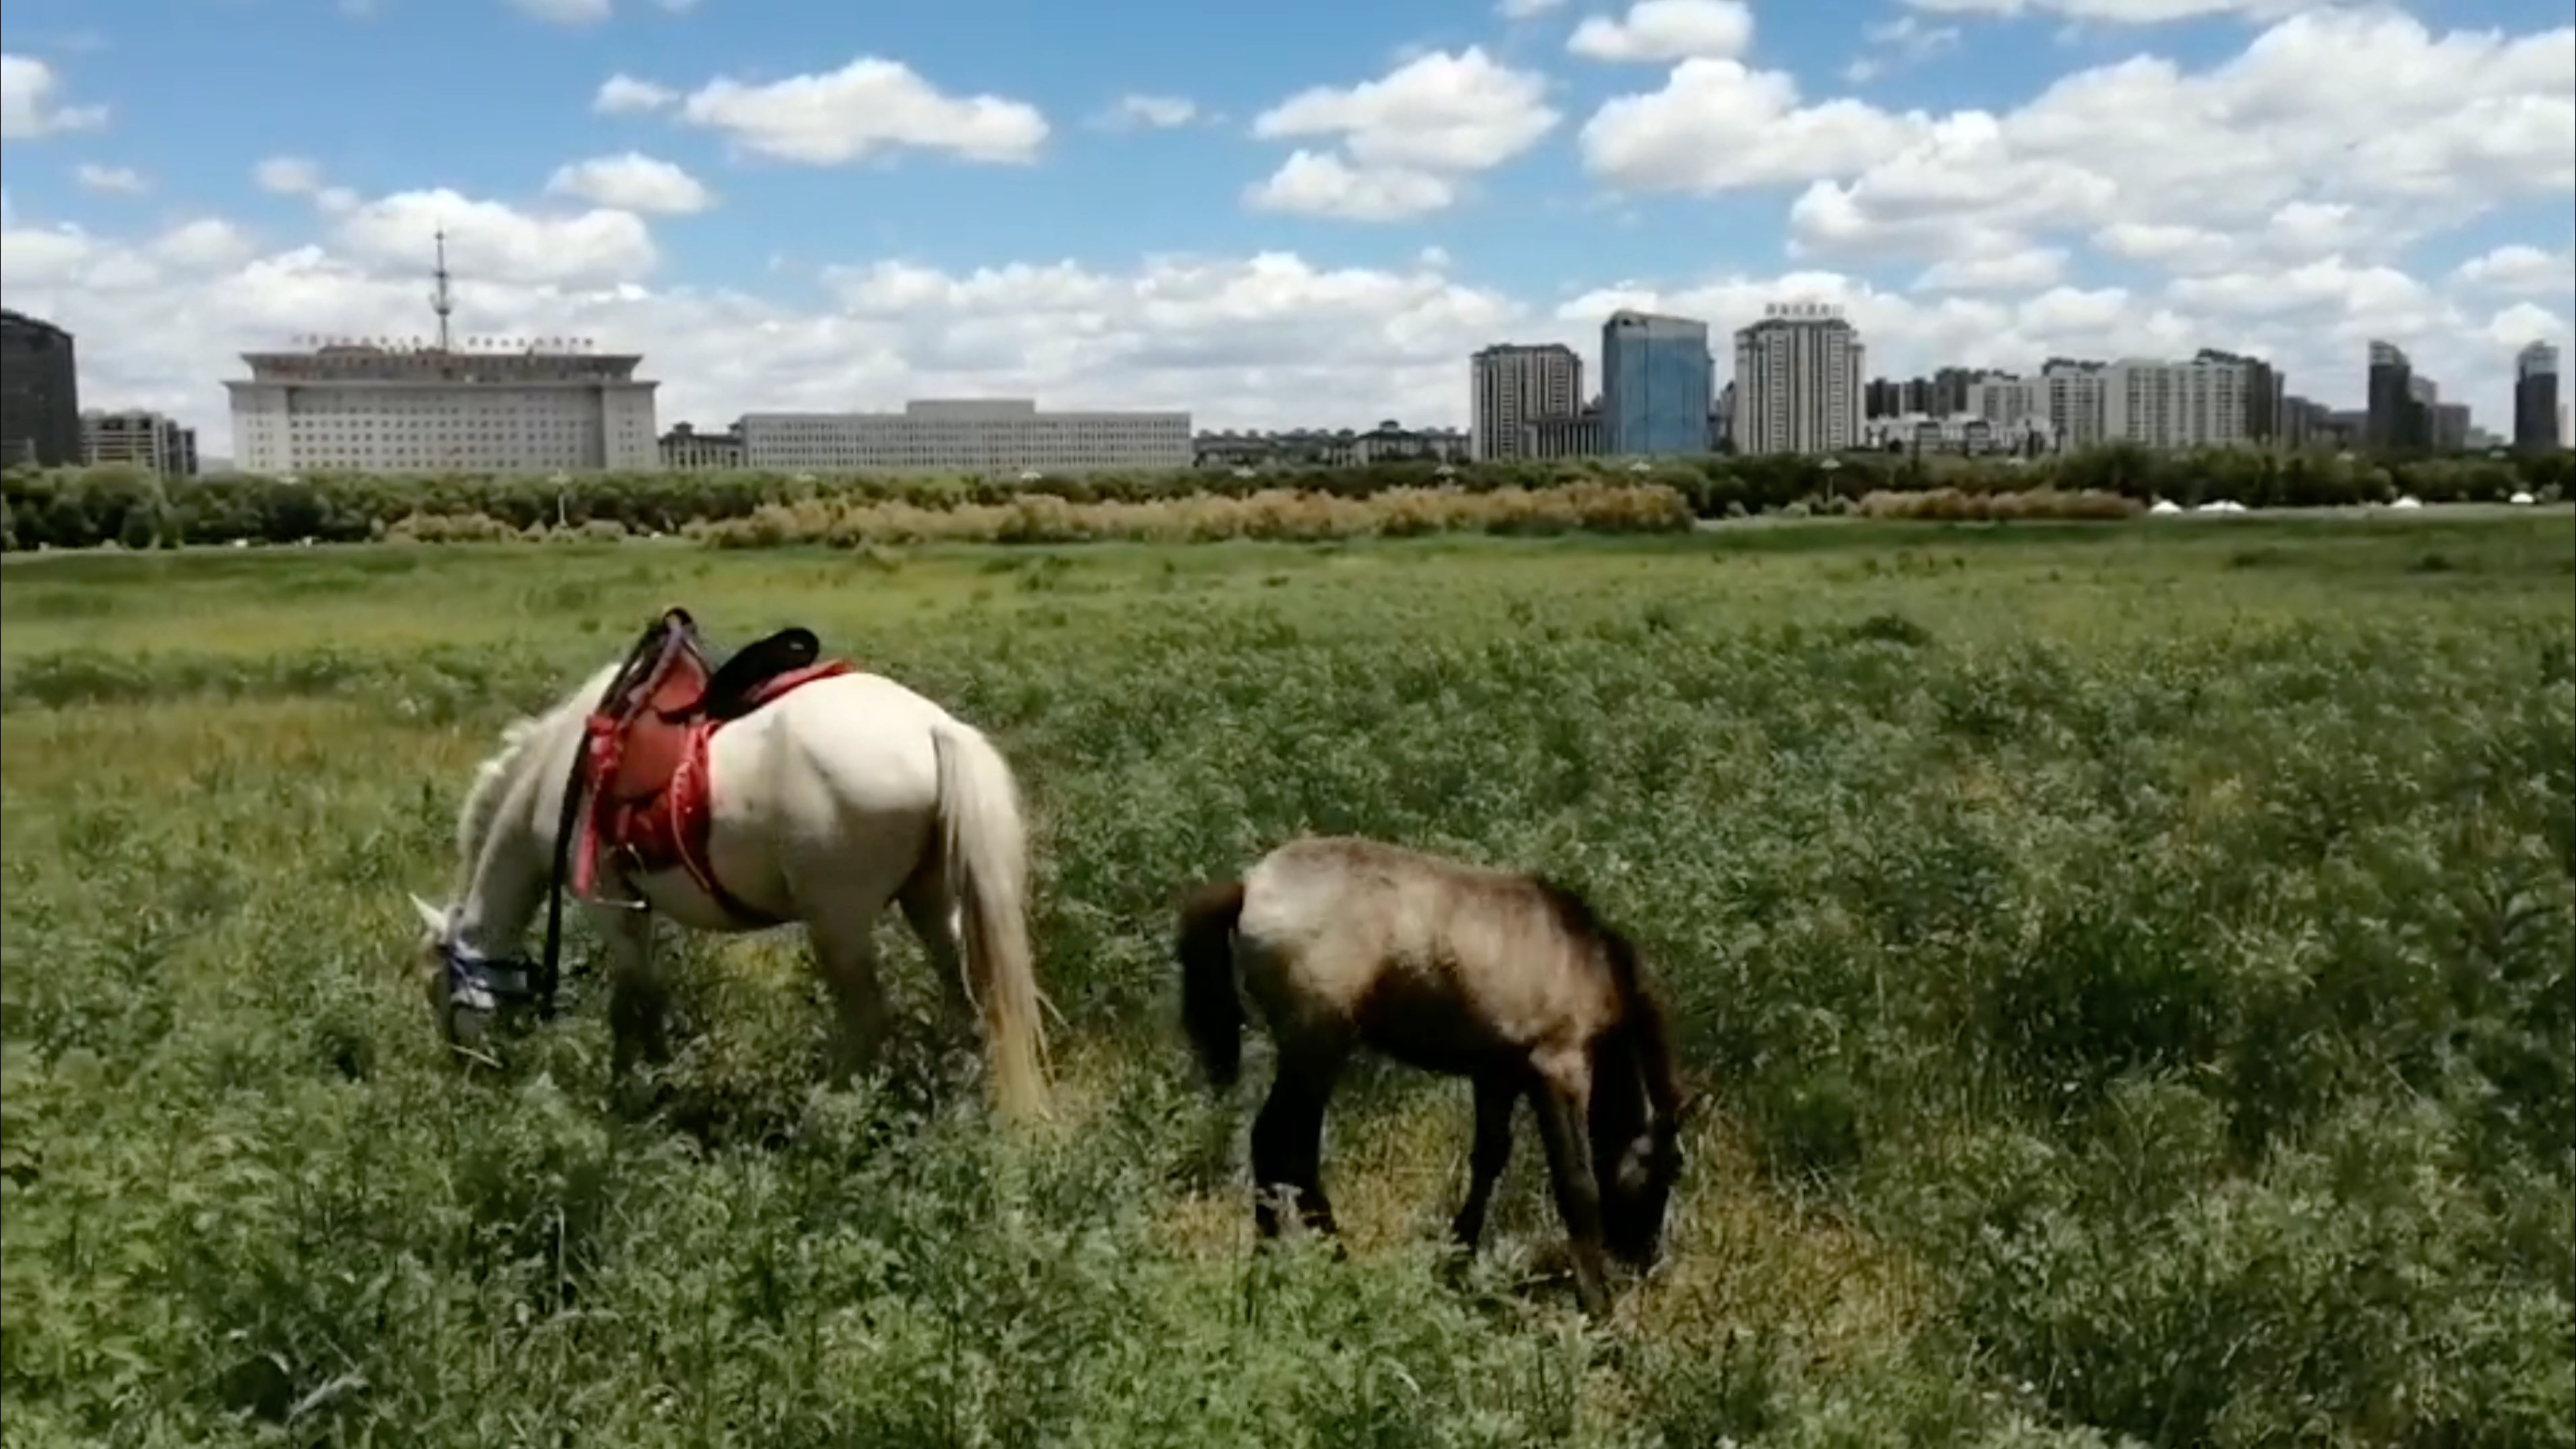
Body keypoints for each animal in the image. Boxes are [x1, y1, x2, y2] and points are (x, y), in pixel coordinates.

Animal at [407, 655, 1051, 1119]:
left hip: (838, 920)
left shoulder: (610, 907)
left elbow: (632, 1005)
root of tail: (933, 727)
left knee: (868, 1020)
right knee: (966, 1001)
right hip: (930, 899)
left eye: (440, 987)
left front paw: (639, 1091)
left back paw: (828, 1115)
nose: (466, 1069)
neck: (557, 775)